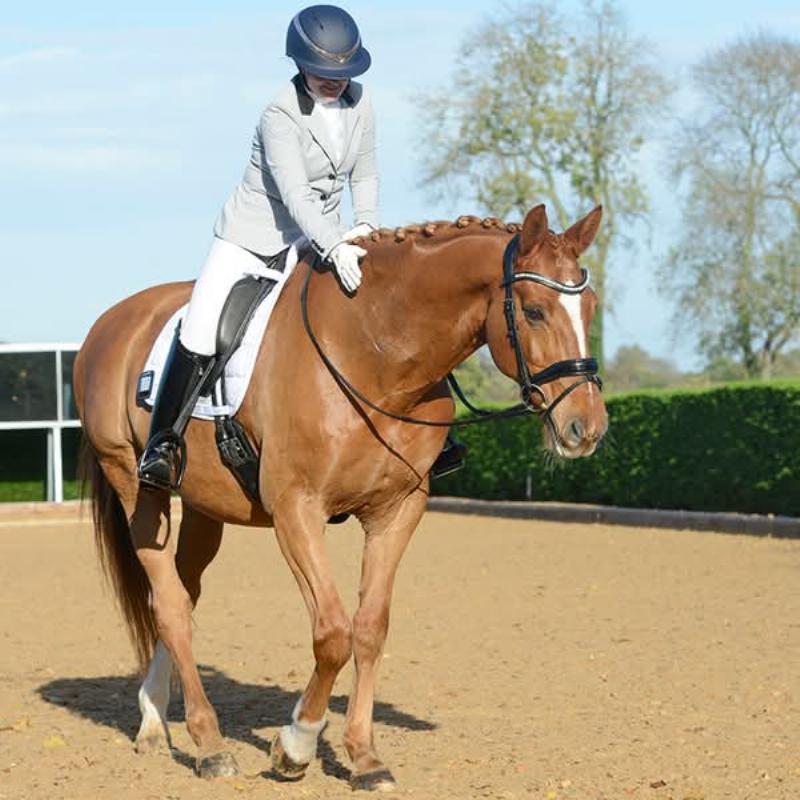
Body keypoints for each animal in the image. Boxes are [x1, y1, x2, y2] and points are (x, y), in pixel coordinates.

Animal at [74, 203, 608, 791]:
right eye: (534, 311)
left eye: (590, 306)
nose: (587, 427)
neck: (377, 352)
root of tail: (113, 320)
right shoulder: (297, 510)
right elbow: (332, 632)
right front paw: (297, 744)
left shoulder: (398, 511)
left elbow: (370, 628)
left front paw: (365, 757)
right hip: (136, 484)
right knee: (168, 604)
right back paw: (210, 744)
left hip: (202, 506)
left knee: (182, 596)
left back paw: (153, 718)